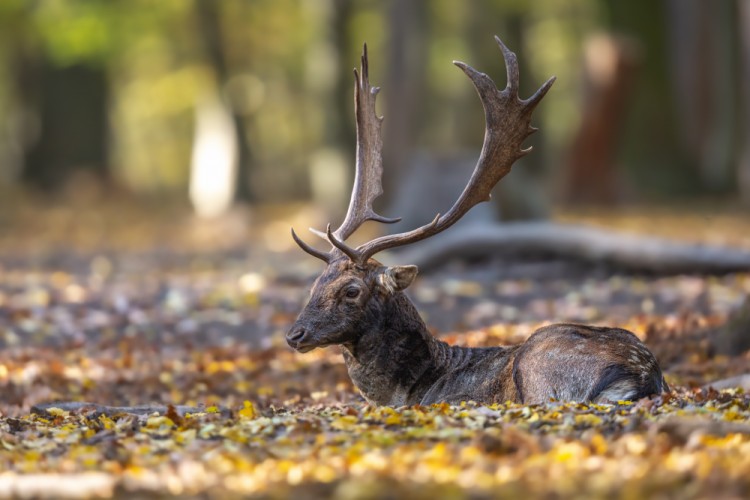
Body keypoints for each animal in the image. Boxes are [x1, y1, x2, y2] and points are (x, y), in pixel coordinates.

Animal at [288, 38, 668, 406]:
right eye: (314, 284)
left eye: (351, 290)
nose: (294, 334)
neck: (412, 388)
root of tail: (642, 373)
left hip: (538, 364)